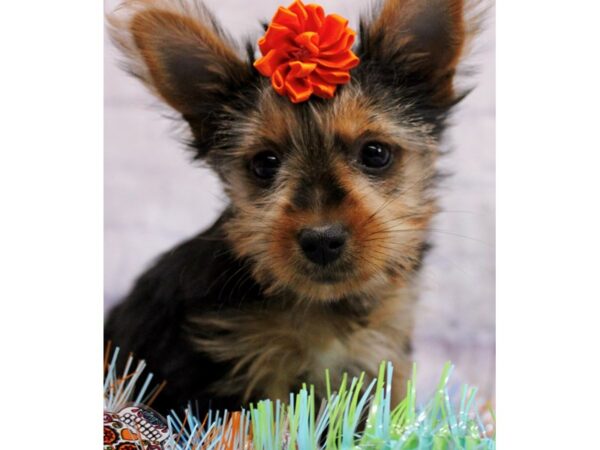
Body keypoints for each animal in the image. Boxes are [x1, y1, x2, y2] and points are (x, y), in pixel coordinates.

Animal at [105, 0, 476, 414]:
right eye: (265, 163)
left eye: (375, 153)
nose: (322, 240)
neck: (323, 305)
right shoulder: (249, 369)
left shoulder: (382, 351)